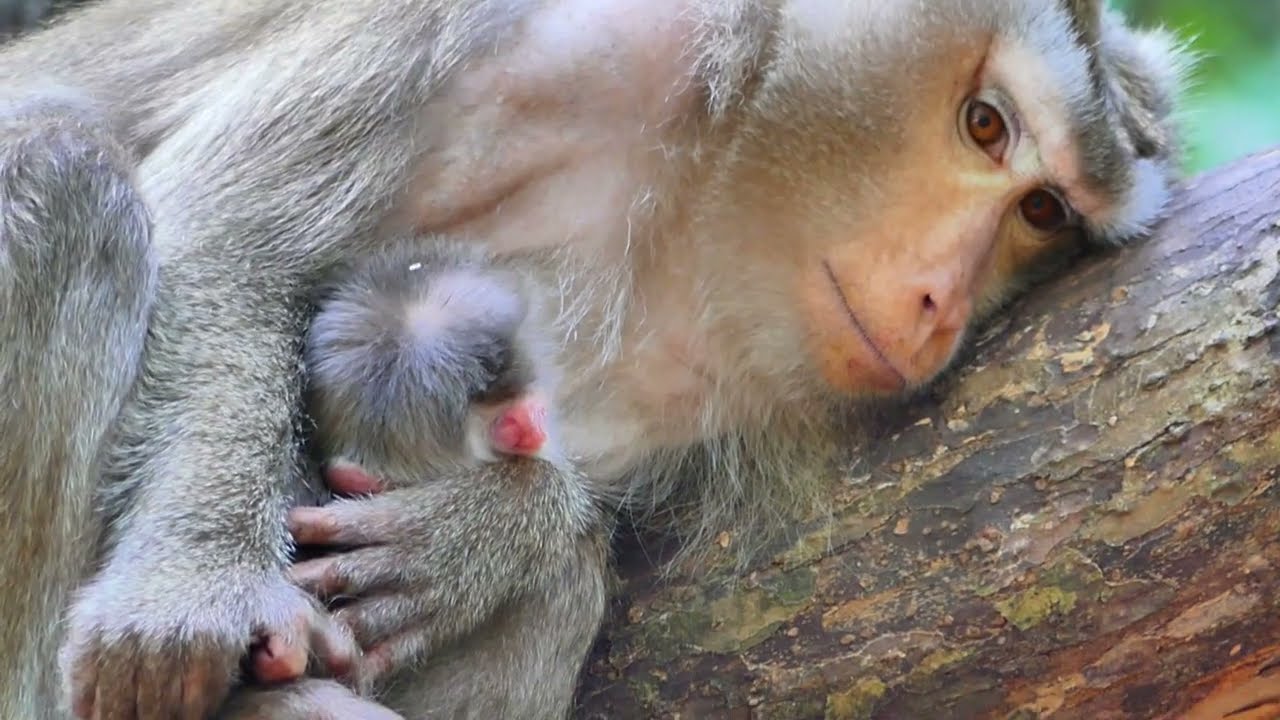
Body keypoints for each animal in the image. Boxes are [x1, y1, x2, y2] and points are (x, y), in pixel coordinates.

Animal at [0, 1, 1190, 718]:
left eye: (1042, 214)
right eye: (984, 125)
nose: (942, 300)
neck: (712, 162)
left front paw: (499, 533)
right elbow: (228, 243)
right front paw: (189, 589)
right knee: (62, 173)